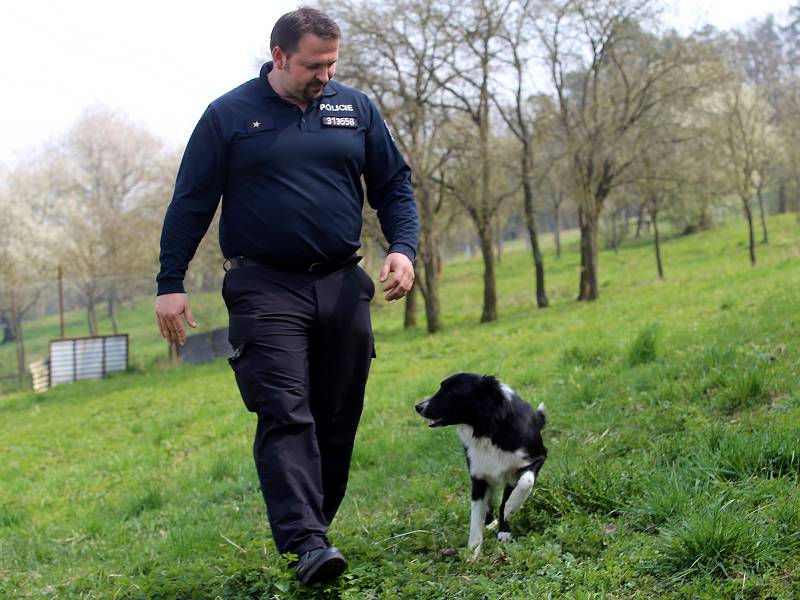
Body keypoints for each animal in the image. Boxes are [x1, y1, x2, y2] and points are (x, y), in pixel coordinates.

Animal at [416, 370, 548, 556]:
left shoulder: (538, 455)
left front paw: (511, 508)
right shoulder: (478, 476)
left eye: (452, 392)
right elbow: (476, 515)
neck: (489, 430)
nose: (418, 407)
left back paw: (504, 527)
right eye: (441, 387)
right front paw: (473, 552)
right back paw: (491, 522)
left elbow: (525, 482)